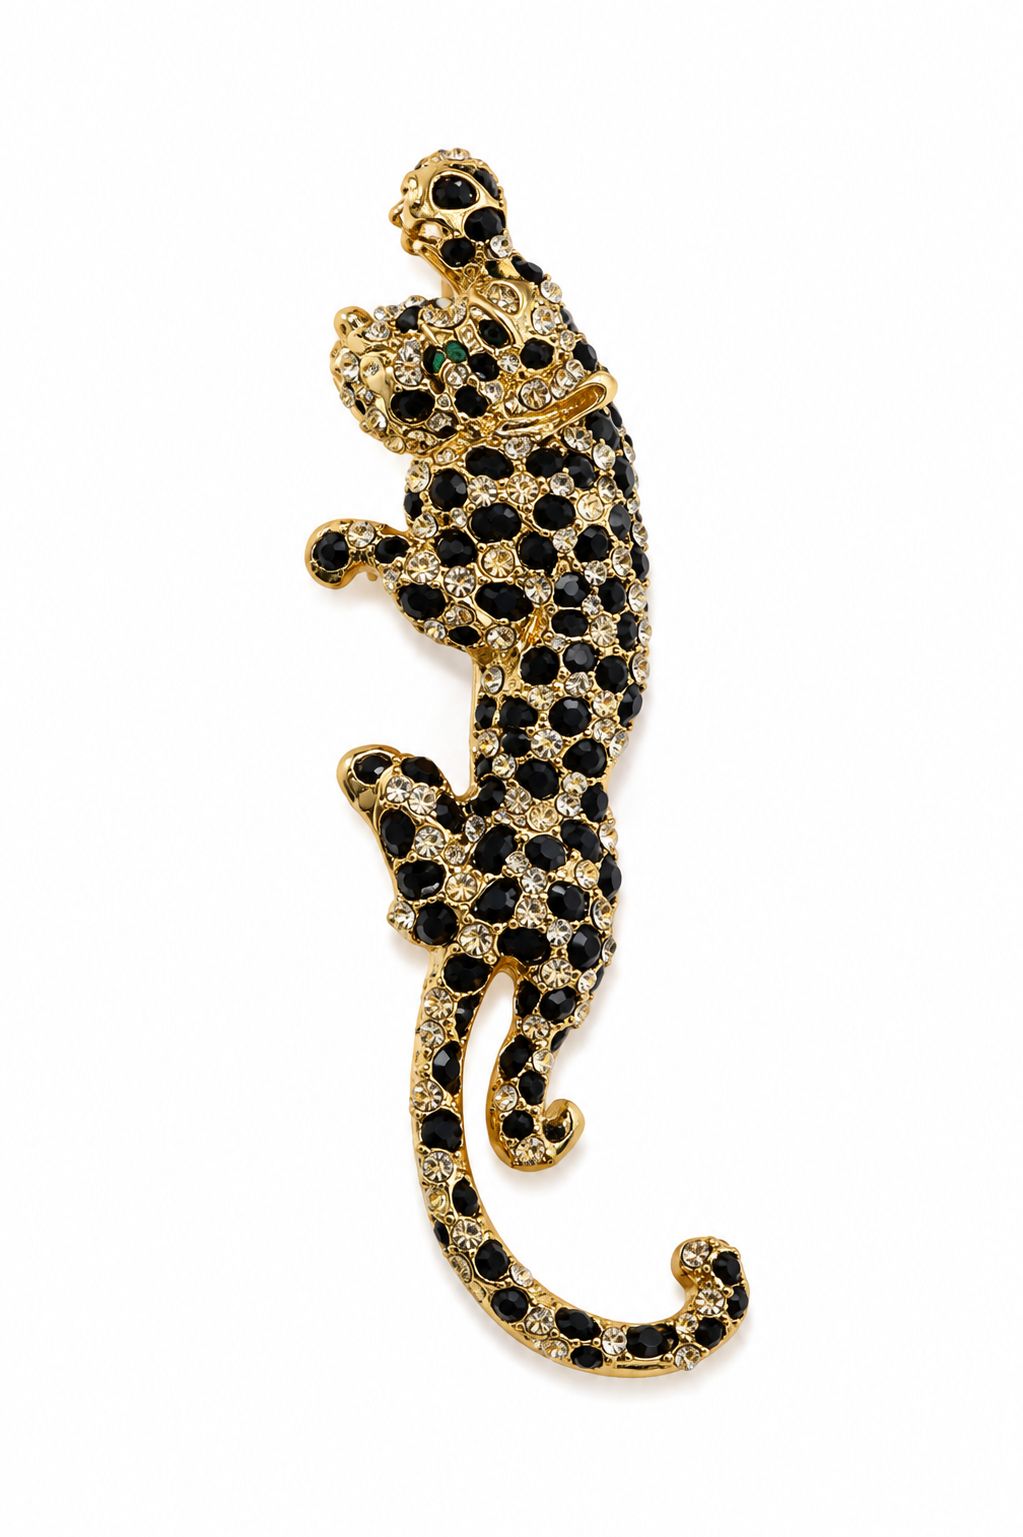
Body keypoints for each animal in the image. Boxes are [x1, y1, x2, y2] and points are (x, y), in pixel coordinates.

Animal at [306, 149, 748, 1374]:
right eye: (409, 312)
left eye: (446, 358)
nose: (351, 334)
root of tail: (489, 932)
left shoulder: (481, 599)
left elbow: (412, 569)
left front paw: (337, 545)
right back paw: (386, 781)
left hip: (555, 954)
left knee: (521, 1051)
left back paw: (387, 780)